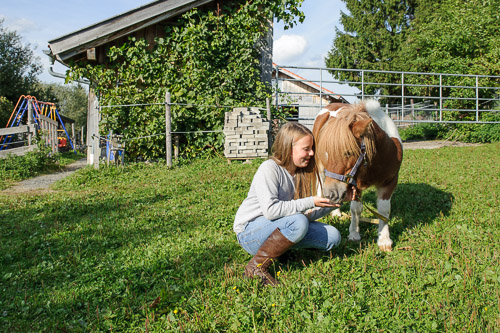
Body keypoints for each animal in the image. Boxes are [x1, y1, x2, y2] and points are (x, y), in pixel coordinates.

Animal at [312, 100, 402, 250]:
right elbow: (356, 209)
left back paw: (336, 213)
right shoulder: (355, 184)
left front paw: (384, 240)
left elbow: (383, 211)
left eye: (348, 152)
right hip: (320, 169)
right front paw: (354, 234)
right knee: (319, 187)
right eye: (327, 152)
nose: (331, 193)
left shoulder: (389, 182)